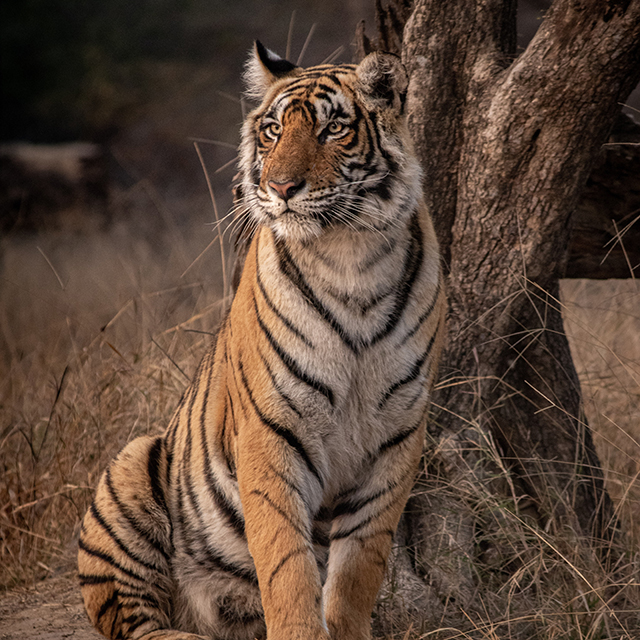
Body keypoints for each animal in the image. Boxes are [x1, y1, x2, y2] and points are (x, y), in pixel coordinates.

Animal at [78, 41, 445, 640]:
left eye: (333, 129)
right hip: (129, 473)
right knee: (138, 624)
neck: (351, 257)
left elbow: (358, 569)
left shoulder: (396, 438)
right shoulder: (273, 430)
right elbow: (286, 565)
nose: (279, 188)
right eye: (273, 130)